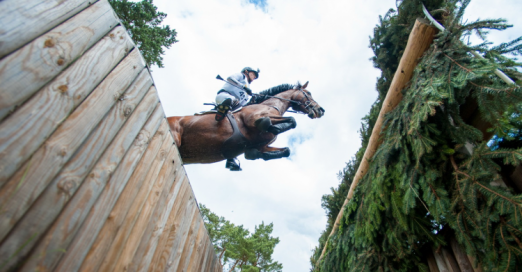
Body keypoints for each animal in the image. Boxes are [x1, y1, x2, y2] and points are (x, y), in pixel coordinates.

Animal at [167, 81, 322, 166]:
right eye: (308, 93)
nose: (321, 110)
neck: (272, 105)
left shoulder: (262, 146)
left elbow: (286, 150)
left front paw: (252, 153)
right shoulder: (253, 119)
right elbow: (290, 121)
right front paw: (269, 125)